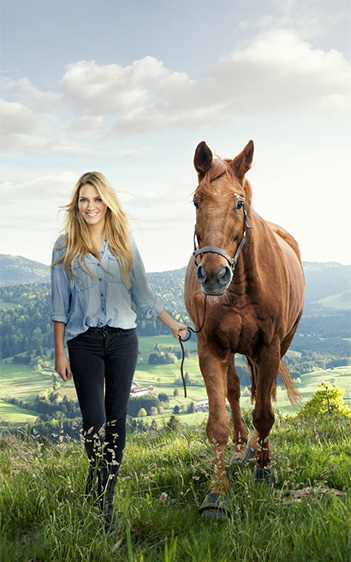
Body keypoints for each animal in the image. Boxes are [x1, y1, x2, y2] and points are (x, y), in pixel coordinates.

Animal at [184, 141, 306, 516]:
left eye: (239, 203)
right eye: (197, 201)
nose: (212, 275)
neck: (239, 289)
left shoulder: (268, 349)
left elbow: (264, 414)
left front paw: (265, 471)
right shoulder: (211, 348)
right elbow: (217, 423)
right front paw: (216, 493)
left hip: (279, 344)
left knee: (260, 396)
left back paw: (256, 450)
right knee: (236, 392)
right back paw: (241, 450)